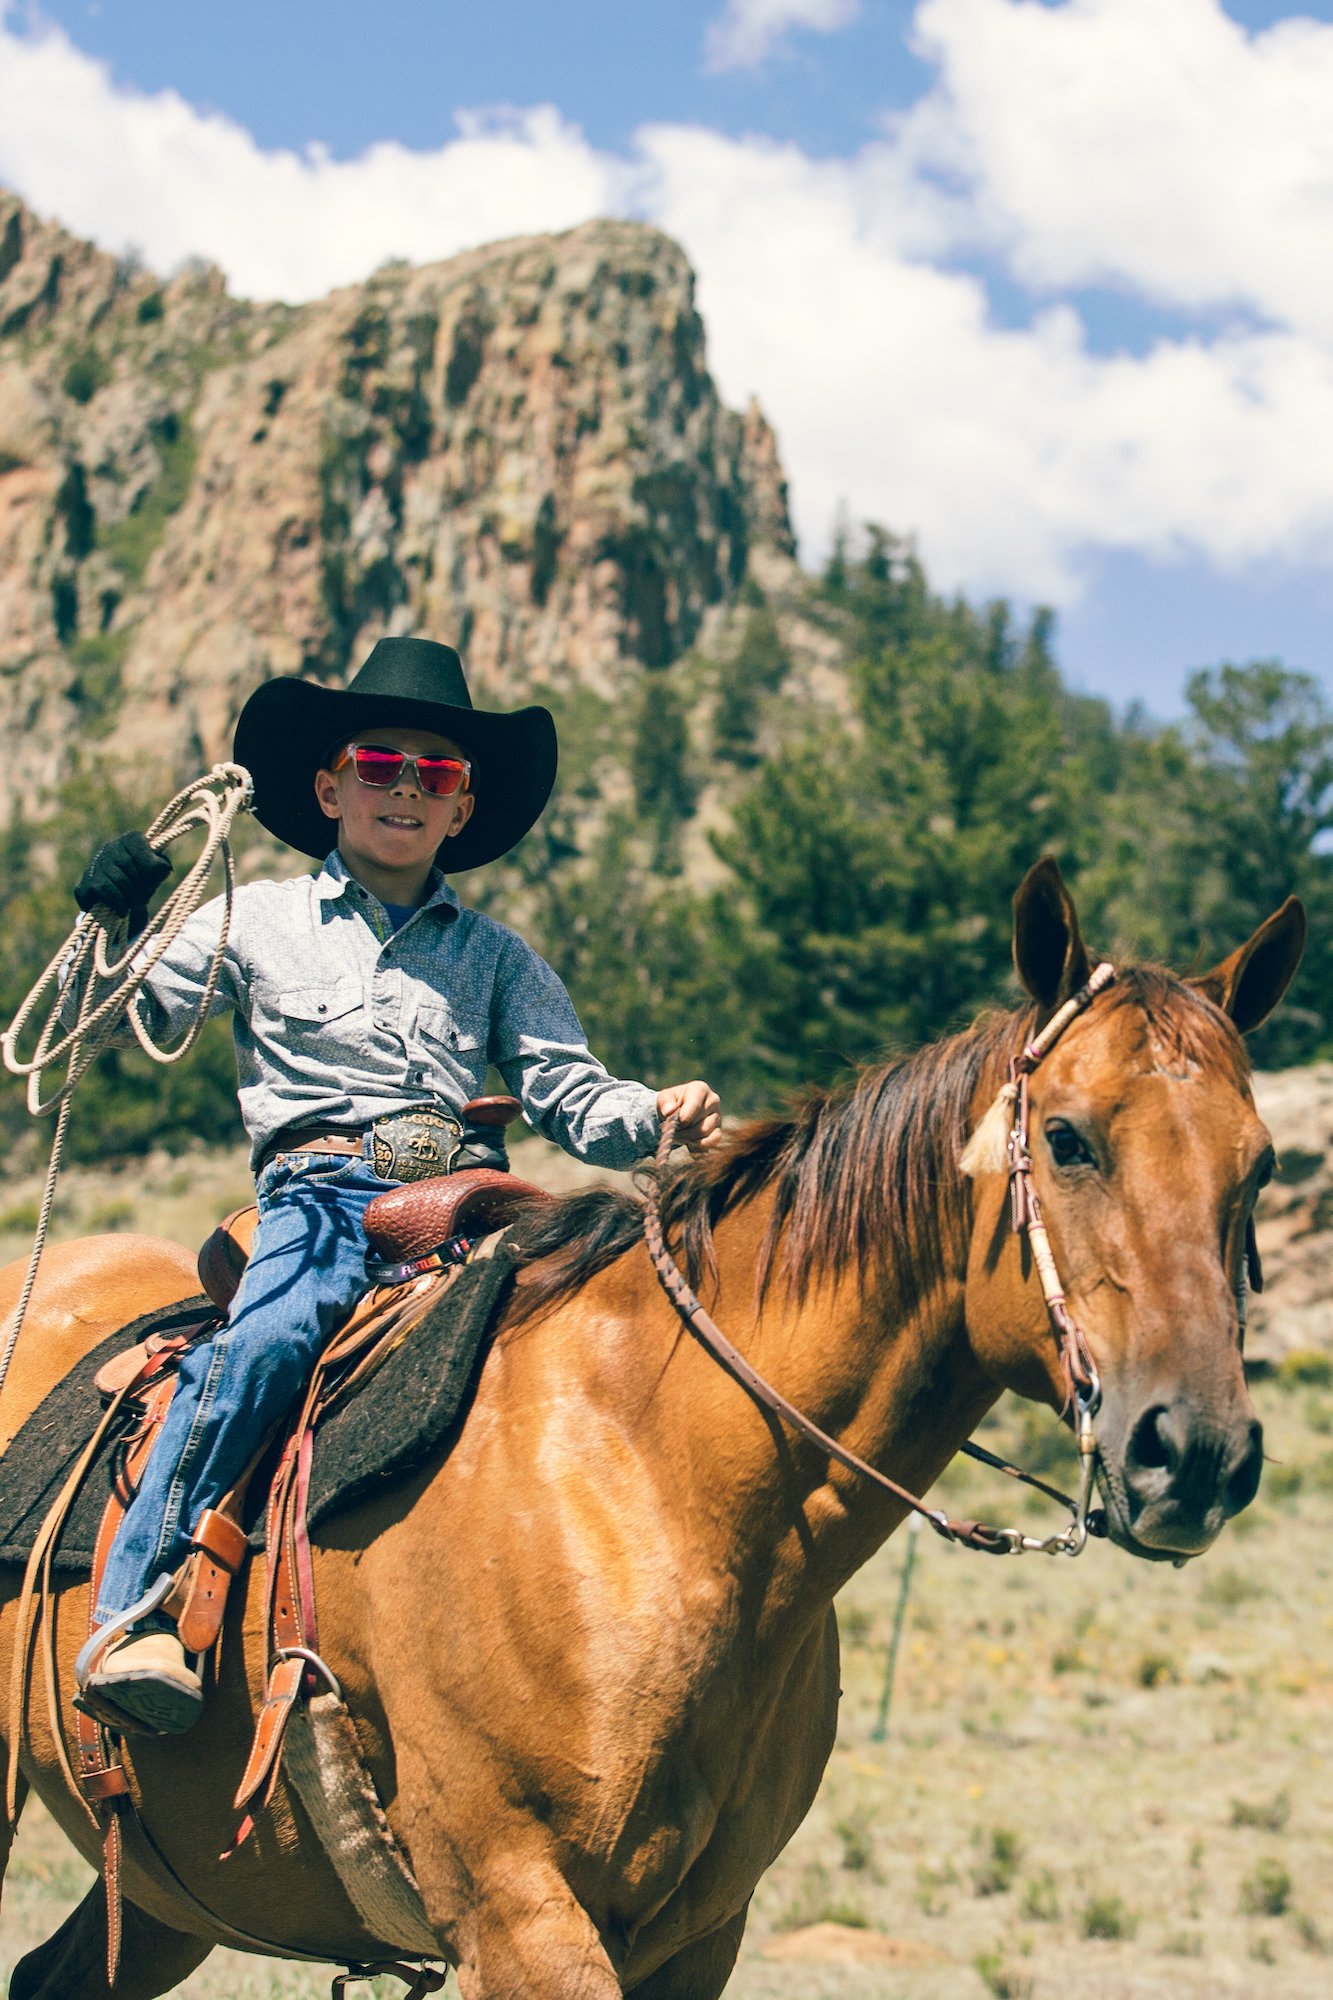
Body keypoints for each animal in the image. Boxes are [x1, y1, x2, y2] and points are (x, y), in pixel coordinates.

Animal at [0, 864, 1304, 2000]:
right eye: (1071, 1138)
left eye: (1259, 1165)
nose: (1195, 1453)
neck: (656, 1481)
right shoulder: (519, 1913)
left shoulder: (698, 1935)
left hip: (167, 1894)